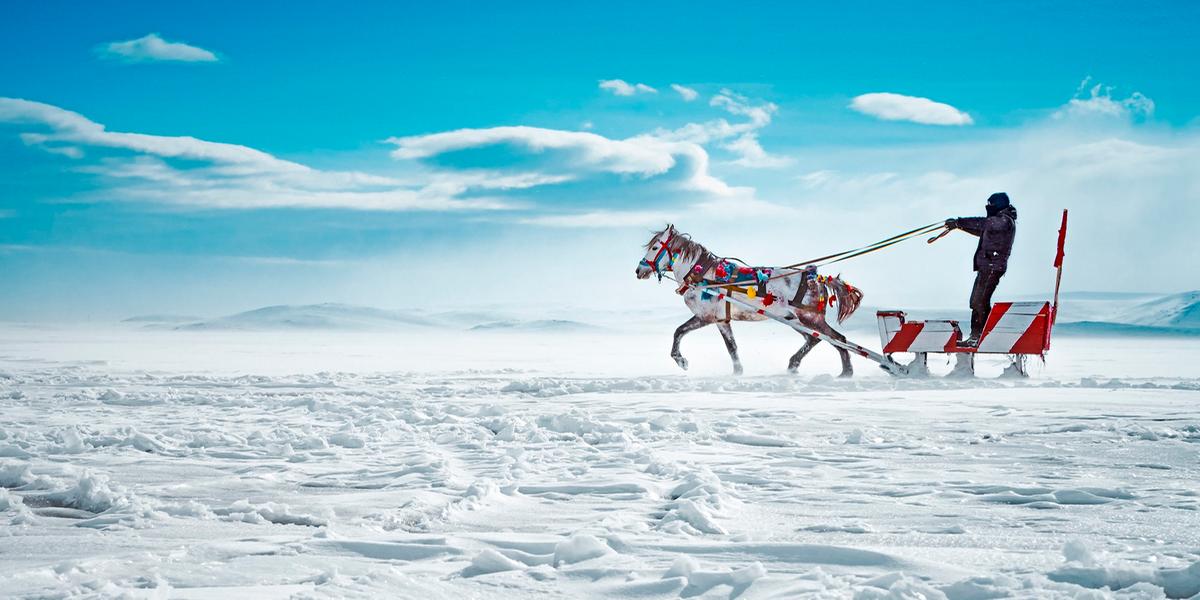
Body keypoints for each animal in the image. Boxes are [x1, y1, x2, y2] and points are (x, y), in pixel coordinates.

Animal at [638, 223, 864, 376]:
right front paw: (737, 372)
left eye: (655, 247)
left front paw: (681, 360)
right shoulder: (720, 320)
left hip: (810, 319)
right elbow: (730, 346)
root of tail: (816, 278)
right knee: (820, 339)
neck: (704, 276)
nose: (639, 270)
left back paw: (842, 371)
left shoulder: (707, 317)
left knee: (833, 339)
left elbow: (681, 332)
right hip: (796, 320)